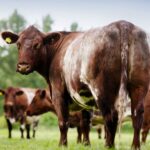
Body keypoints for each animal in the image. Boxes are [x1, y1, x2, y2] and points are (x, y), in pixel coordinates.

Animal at [1, 19, 150, 149]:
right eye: (18, 44)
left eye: (37, 44)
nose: (23, 66)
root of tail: (123, 24)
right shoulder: (86, 99)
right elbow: (85, 123)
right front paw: (86, 144)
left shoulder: (58, 92)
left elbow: (63, 122)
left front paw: (62, 145)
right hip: (139, 86)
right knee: (137, 117)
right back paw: (135, 146)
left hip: (102, 90)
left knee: (111, 117)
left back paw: (109, 146)